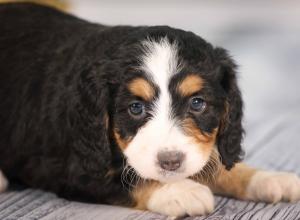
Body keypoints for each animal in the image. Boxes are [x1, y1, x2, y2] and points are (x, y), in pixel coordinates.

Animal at [0, 2, 300, 217]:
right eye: (135, 108)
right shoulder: (73, 168)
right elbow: (132, 180)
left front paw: (266, 178)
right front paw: (180, 191)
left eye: (197, 103)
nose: (170, 162)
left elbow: (217, 165)